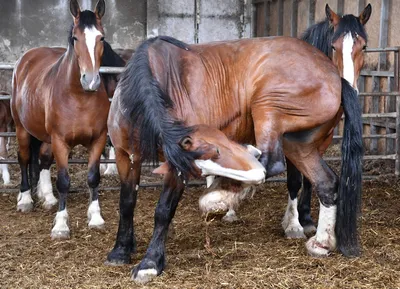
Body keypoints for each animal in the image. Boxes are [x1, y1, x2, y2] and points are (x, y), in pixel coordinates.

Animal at [10, 0, 123, 238]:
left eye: (101, 38)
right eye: (75, 38)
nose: (90, 81)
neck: (79, 97)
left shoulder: (98, 140)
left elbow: (93, 177)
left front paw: (96, 217)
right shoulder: (60, 142)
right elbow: (63, 181)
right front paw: (61, 225)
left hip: (44, 137)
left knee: (42, 159)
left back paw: (47, 197)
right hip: (22, 129)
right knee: (24, 158)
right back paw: (25, 198)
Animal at [107, 25, 366, 282]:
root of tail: (336, 77)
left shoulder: (176, 168)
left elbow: (163, 211)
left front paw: (150, 263)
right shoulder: (125, 157)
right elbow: (126, 202)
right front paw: (121, 249)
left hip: (267, 106)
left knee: (272, 163)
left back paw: (219, 198)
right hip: (298, 145)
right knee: (325, 182)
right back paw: (321, 242)